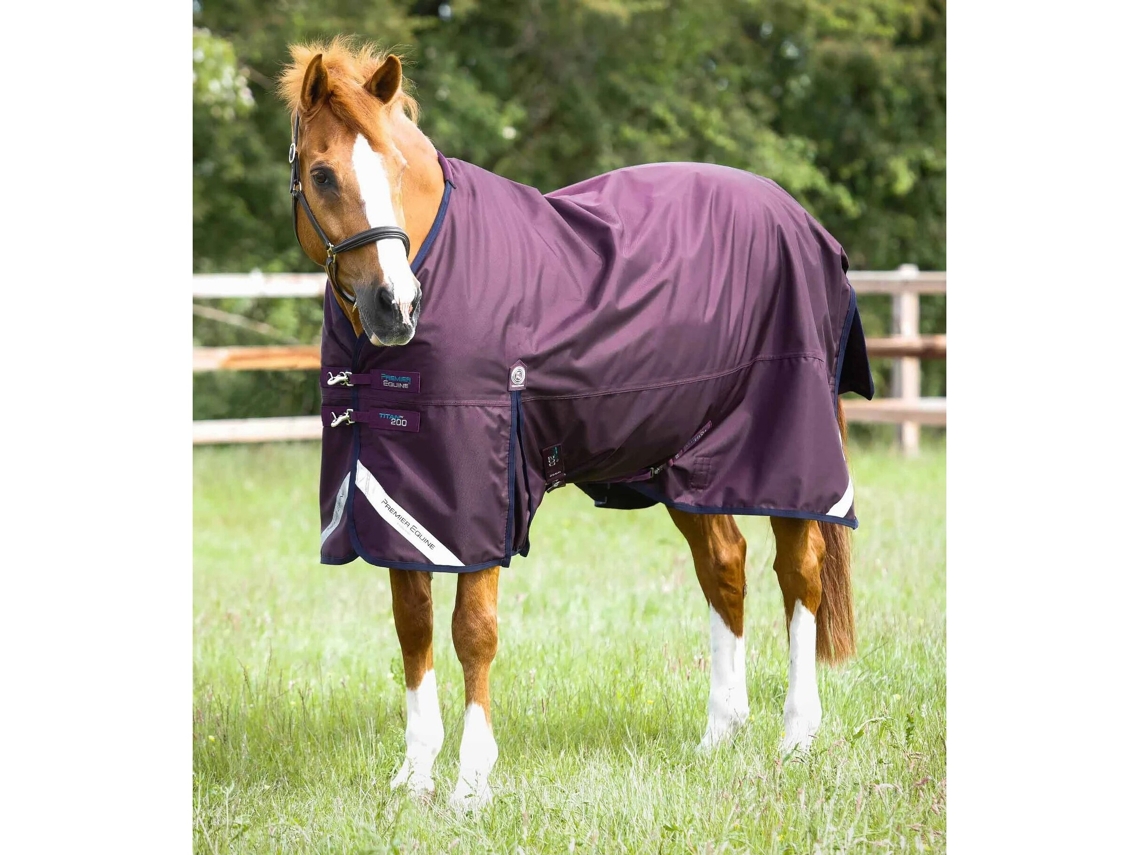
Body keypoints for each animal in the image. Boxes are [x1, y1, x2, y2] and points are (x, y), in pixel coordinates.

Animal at [278, 38, 870, 812]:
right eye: (322, 174)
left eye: (399, 167)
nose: (394, 305)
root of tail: (806, 224)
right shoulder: (401, 493)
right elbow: (413, 627)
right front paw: (414, 774)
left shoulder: (478, 498)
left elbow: (472, 631)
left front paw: (470, 783)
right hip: (686, 460)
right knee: (725, 566)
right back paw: (720, 733)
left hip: (786, 449)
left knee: (798, 573)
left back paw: (796, 735)